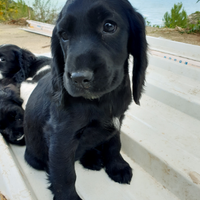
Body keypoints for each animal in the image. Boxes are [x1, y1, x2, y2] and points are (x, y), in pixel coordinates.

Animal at [24, 0, 148, 199]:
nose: (79, 78)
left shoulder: (117, 120)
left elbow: (114, 143)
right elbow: (65, 174)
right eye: (64, 35)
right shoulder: (61, 136)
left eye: (109, 26)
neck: (102, 100)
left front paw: (117, 166)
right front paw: (68, 196)